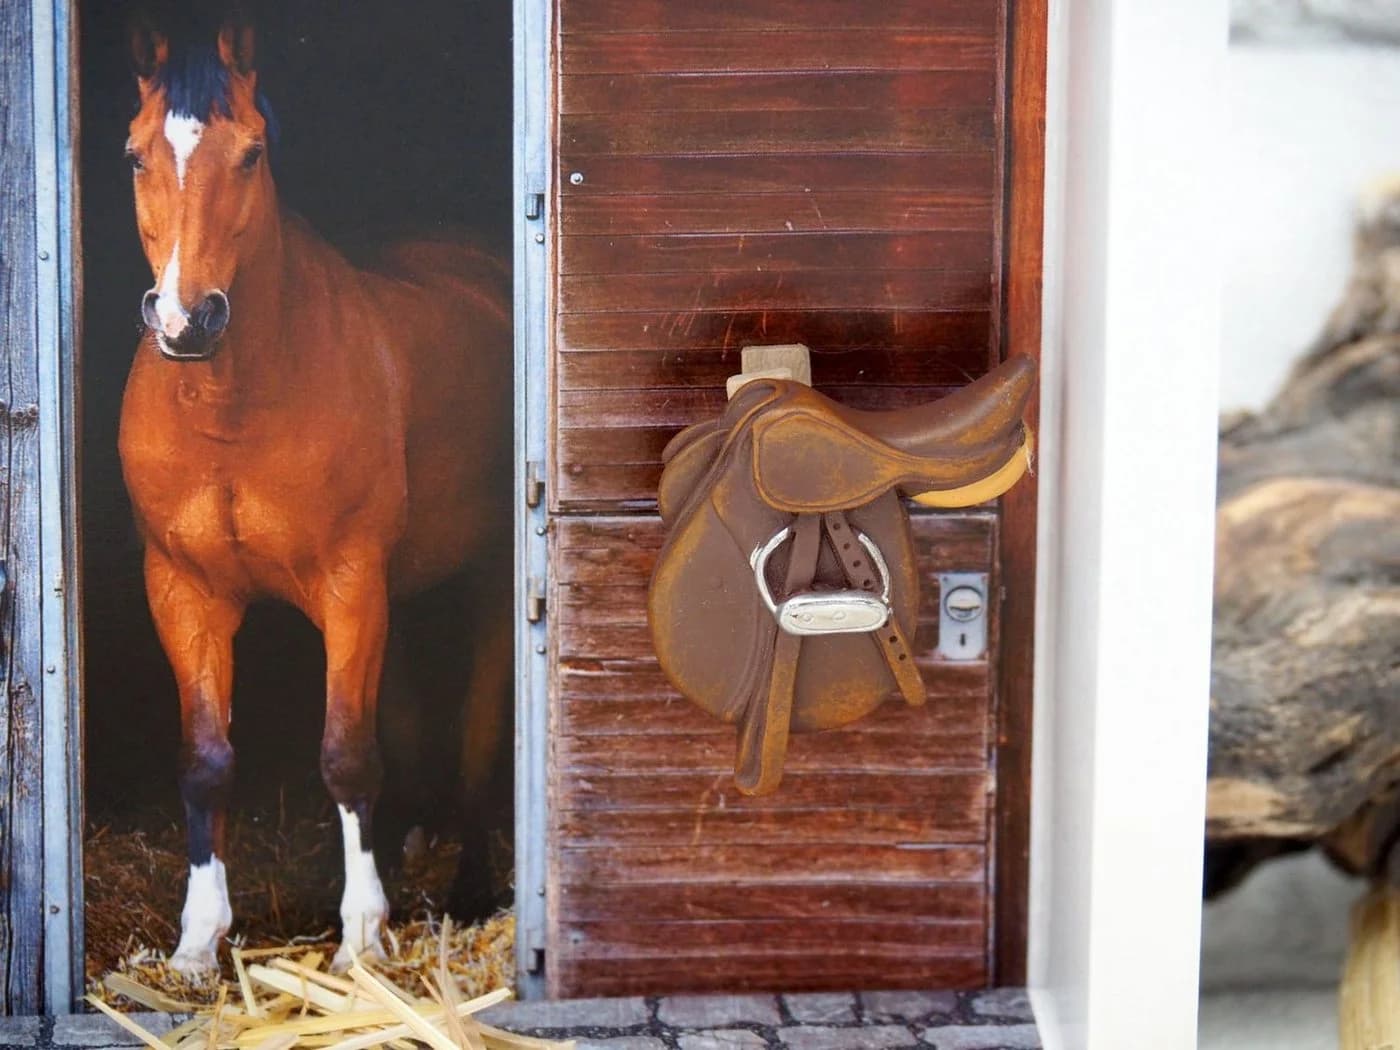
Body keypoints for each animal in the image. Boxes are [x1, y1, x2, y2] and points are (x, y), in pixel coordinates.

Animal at [117, 19, 512, 975]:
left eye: (252, 153)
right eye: (135, 155)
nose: (187, 321)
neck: (232, 409)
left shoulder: (348, 582)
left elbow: (345, 755)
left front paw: (362, 935)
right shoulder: (183, 590)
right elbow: (206, 760)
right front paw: (197, 943)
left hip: (484, 581)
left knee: (480, 733)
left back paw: (469, 883)